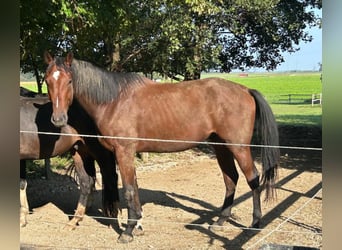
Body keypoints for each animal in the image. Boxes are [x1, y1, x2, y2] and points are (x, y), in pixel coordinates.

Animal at [19, 89, 120, 229]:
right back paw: (76, 219)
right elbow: (22, 184)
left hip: (98, 151)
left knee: (109, 178)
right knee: (87, 182)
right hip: (80, 151)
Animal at [43, 51, 278, 243]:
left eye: (70, 80)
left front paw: (127, 232)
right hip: (221, 147)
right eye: (47, 80)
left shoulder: (124, 152)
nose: (58, 119)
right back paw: (220, 221)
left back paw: (255, 223)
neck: (114, 100)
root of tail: (246, 90)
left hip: (239, 147)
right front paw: (137, 225)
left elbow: (129, 189)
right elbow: (134, 188)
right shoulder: (127, 154)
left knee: (253, 179)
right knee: (231, 179)